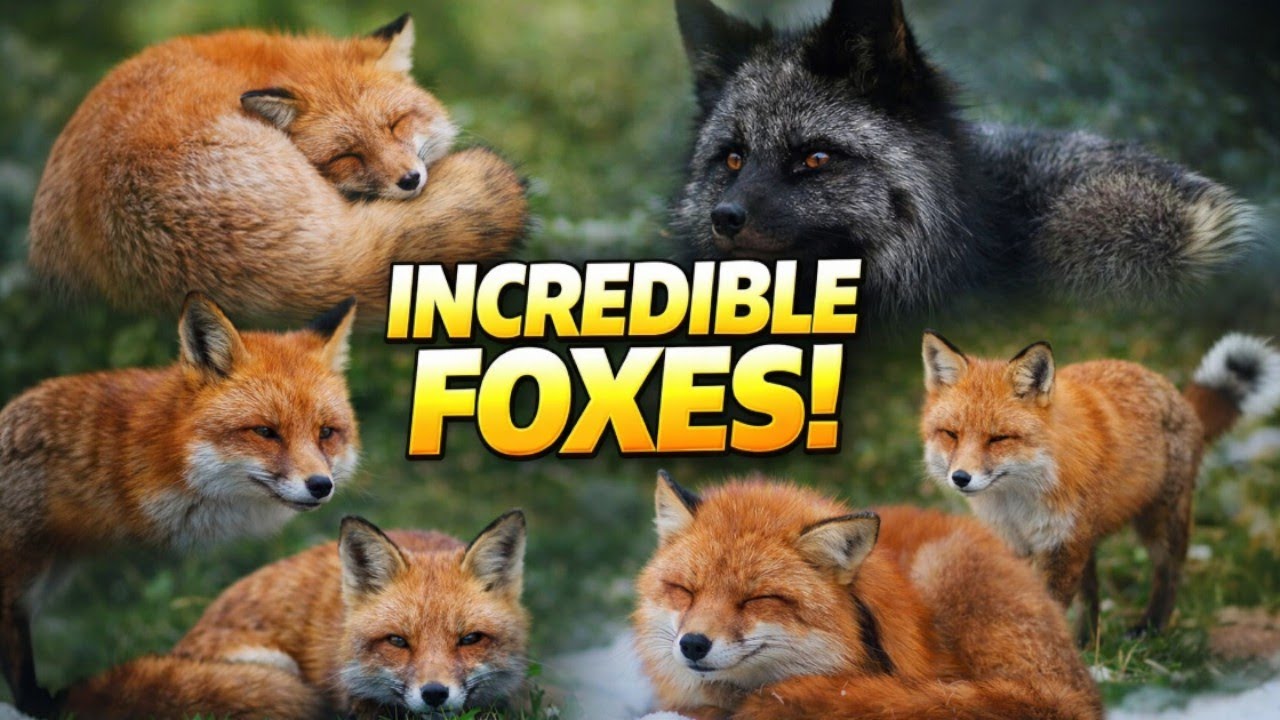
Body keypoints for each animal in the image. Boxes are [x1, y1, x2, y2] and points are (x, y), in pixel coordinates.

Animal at [920, 330, 1280, 644]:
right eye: (951, 434)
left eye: (998, 438)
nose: (960, 477)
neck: (1017, 503)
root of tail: (1177, 396)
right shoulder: (1016, 543)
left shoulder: (1060, 544)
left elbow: (1048, 606)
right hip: (1089, 540)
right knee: (1091, 595)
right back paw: (1086, 642)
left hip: (1157, 525)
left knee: (1169, 574)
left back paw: (1150, 628)